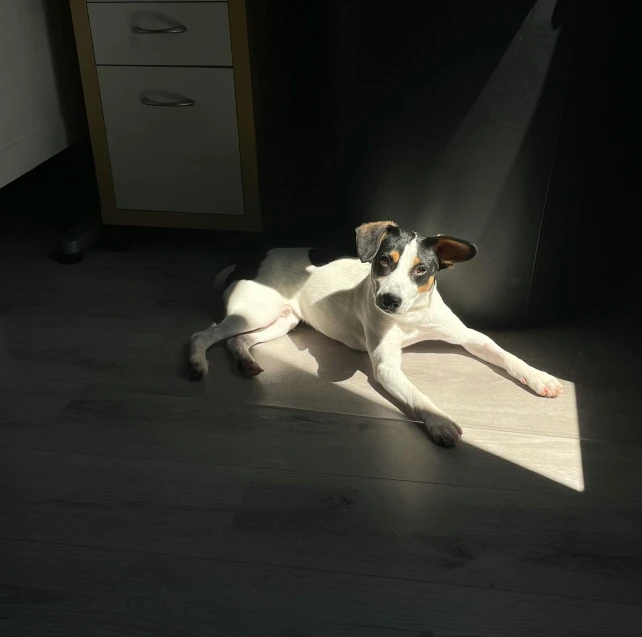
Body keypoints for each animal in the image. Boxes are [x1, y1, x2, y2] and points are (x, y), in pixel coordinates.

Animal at [186, 221, 560, 444]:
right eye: (383, 261)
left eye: (421, 270)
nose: (388, 301)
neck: (411, 316)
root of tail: (249, 258)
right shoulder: (386, 366)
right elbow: (417, 395)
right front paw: (439, 421)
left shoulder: (470, 336)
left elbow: (506, 354)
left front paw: (540, 377)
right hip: (254, 312)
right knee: (203, 335)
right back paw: (197, 363)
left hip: (282, 320)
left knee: (238, 341)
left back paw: (246, 362)